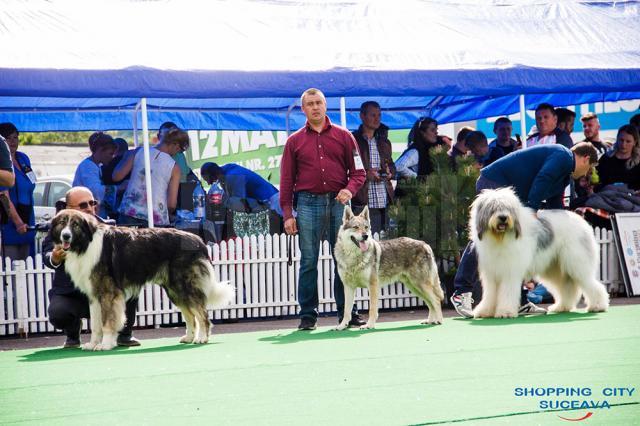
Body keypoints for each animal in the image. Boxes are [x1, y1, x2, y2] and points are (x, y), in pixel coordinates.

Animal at [48, 210, 235, 350]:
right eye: (62, 223)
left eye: (75, 225)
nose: (65, 236)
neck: (86, 243)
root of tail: (199, 241)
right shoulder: (94, 296)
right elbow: (95, 324)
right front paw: (93, 344)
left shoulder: (108, 293)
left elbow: (107, 322)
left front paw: (105, 345)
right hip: (175, 290)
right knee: (190, 315)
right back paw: (188, 337)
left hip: (185, 286)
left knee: (202, 314)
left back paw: (202, 338)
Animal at [470, 188, 608, 318]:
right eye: (493, 208)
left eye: (508, 208)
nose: (503, 217)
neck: (500, 238)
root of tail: (581, 220)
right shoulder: (491, 273)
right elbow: (490, 294)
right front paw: (485, 311)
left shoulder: (510, 272)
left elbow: (507, 292)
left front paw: (505, 312)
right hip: (555, 268)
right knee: (566, 287)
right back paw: (562, 307)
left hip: (577, 263)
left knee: (592, 284)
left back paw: (598, 306)